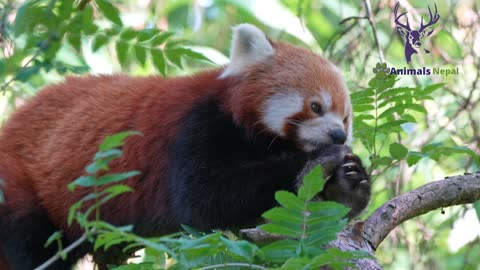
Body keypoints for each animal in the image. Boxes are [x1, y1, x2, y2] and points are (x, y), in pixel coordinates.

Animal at [0, 24, 372, 268]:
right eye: (316, 106)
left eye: (346, 118)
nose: (338, 136)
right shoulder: (193, 128)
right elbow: (203, 197)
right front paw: (316, 161)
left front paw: (348, 184)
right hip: (21, 185)